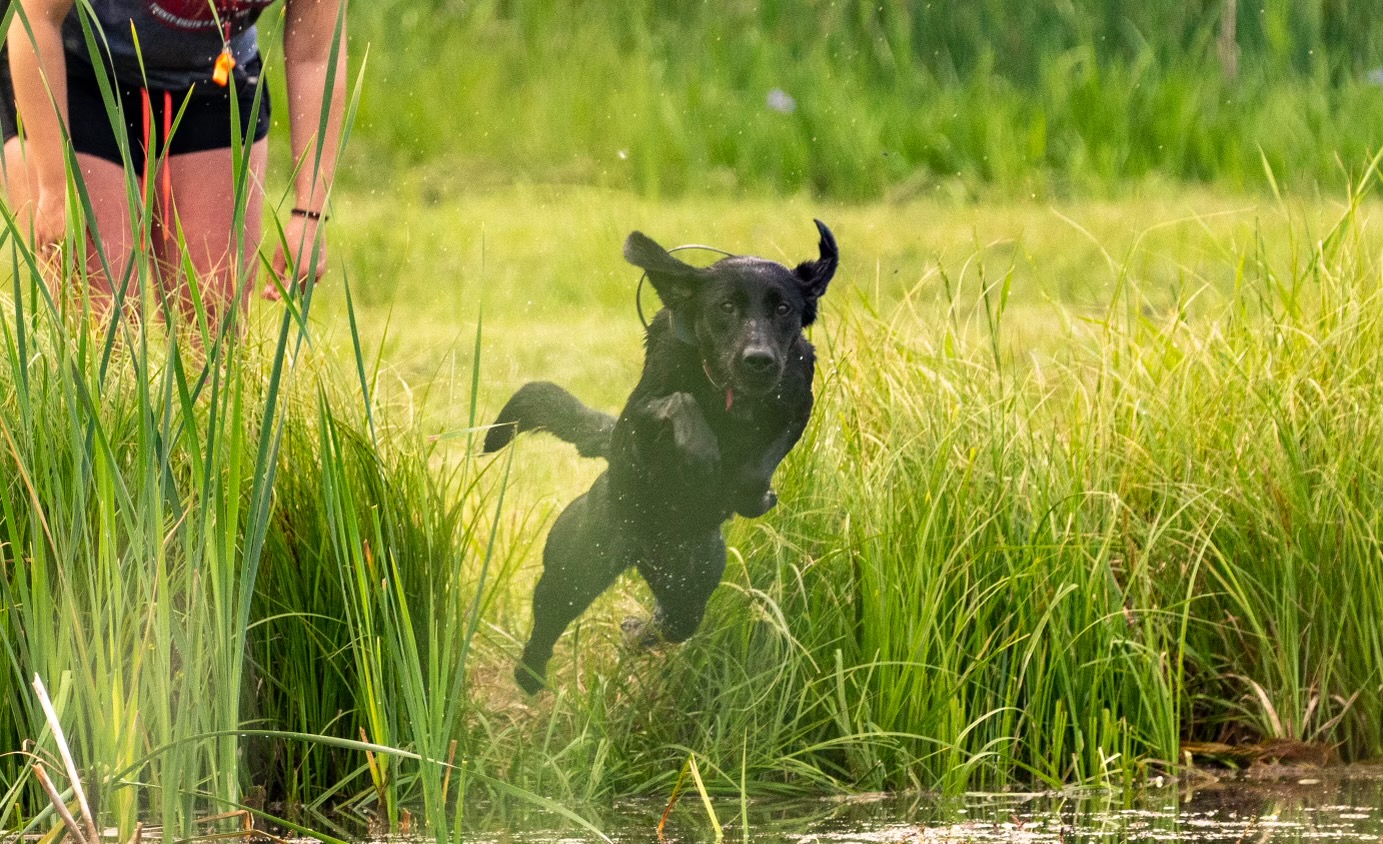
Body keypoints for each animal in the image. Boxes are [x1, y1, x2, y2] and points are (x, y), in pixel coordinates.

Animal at [481, 218, 835, 689]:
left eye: (783, 309)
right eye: (725, 306)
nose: (758, 359)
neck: (730, 396)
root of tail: (646, 553)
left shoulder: (797, 401)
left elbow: (755, 469)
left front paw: (751, 495)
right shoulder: (639, 417)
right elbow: (680, 403)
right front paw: (703, 463)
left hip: (692, 582)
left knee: (673, 622)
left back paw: (637, 632)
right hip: (575, 566)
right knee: (546, 626)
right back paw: (532, 676)